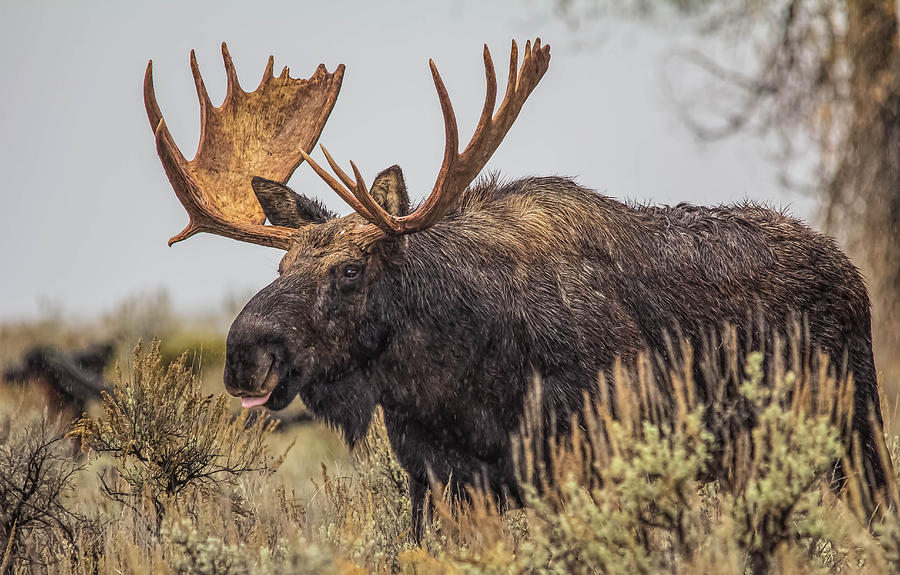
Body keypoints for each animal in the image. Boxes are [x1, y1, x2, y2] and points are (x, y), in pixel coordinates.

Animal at [144, 38, 888, 532]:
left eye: (350, 270)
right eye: (279, 267)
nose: (244, 354)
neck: (456, 378)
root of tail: (851, 273)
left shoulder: (588, 460)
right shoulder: (435, 479)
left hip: (855, 435)